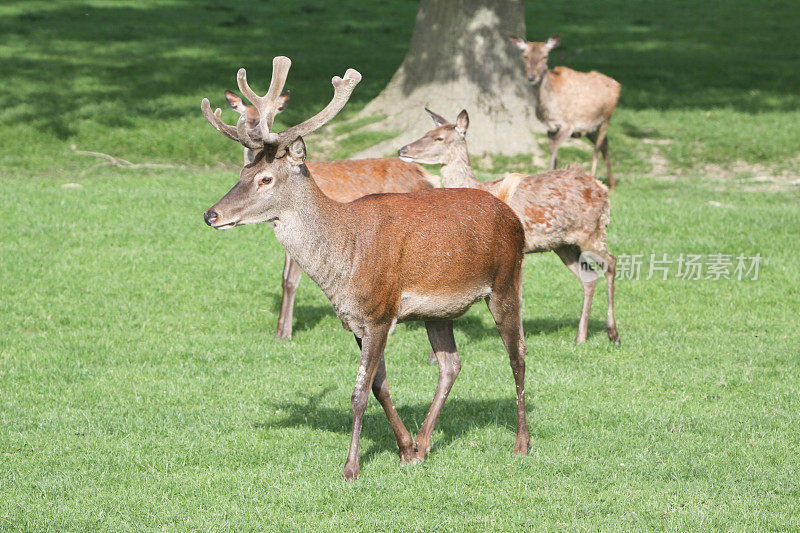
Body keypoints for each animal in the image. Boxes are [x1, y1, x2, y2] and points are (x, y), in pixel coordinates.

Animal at [223, 89, 438, 338]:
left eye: (271, 117)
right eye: (246, 117)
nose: (256, 135)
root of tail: (428, 176)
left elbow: (291, 280)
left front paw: (285, 333)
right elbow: (284, 277)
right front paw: (280, 329)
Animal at [398, 107, 620, 344]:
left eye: (438, 138)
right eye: (427, 131)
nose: (403, 149)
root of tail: (601, 187)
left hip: (592, 231)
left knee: (611, 263)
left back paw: (613, 333)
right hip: (564, 244)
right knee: (589, 277)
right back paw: (580, 337)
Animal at [510, 34, 620, 189]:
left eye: (545, 56)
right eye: (525, 56)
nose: (532, 77)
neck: (548, 109)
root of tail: (617, 84)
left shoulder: (568, 124)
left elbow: (554, 148)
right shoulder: (550, 127)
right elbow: (552, 149)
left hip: (606, 117)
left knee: (597, 147)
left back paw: (595, 178)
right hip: (590, 127)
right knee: (605, 143)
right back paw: (612, 183)